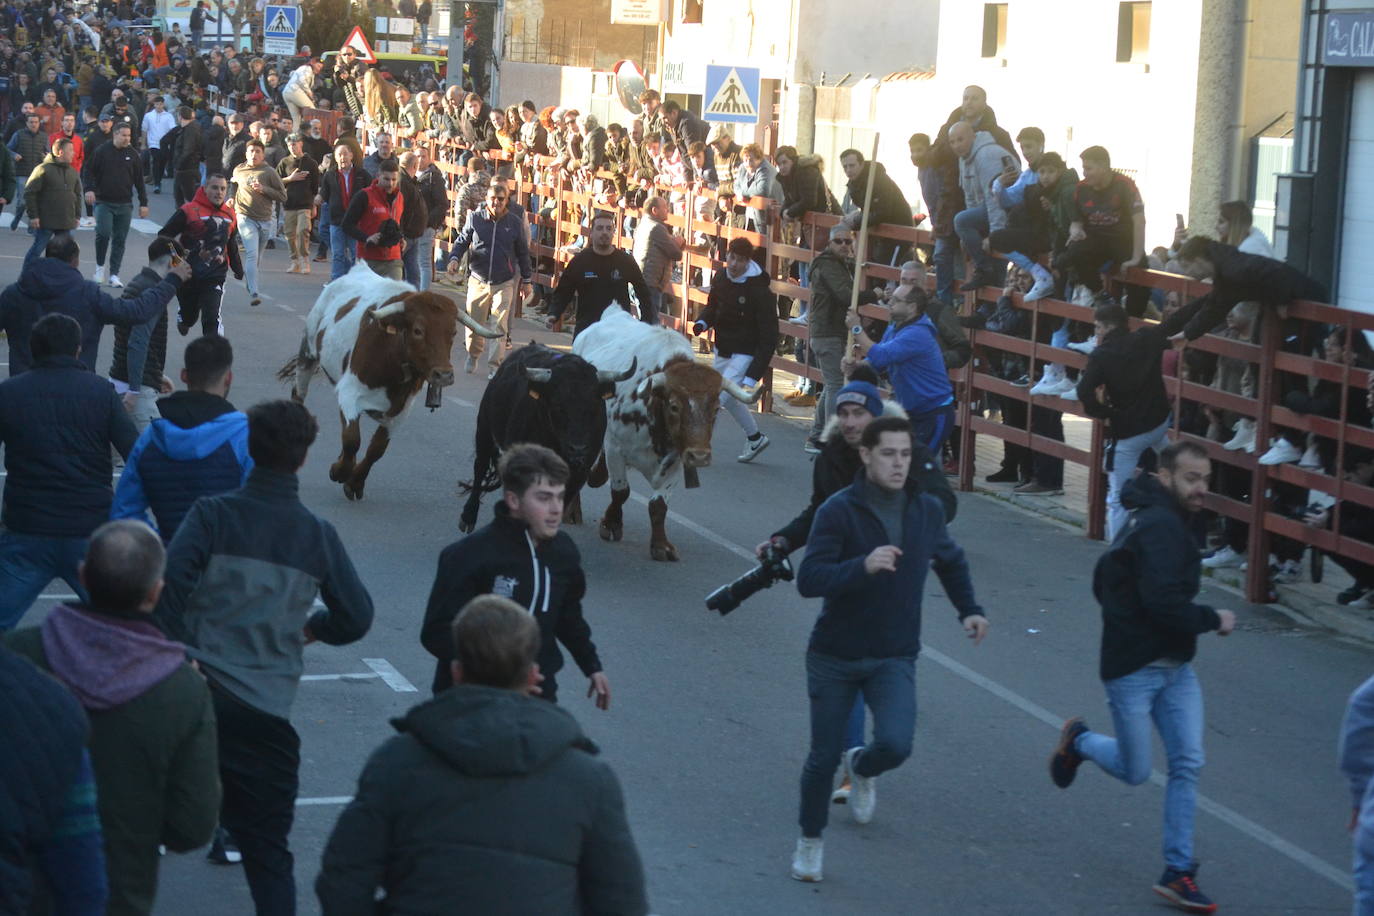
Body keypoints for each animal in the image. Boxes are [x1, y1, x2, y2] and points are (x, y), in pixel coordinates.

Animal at [276, 258, 502, 502]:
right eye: (418, 330)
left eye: (452, 332)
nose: (444, 375)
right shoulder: (349, 392)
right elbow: (352, 439)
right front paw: (340, 471)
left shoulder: (400, 411)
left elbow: (376, 449)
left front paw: (355, 482)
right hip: (307, 353)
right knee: (299, 393)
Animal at [458, 346, 634, 532]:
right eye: (557, 405)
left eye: (594, 406)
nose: (578, 449)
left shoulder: (579, 473)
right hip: (484, 429)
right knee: (480, 466)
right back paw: (468, 516)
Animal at [568, 304, 763, 560]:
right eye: (674, 406)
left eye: (715, 409)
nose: (700, 456)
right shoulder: (615, 448)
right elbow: (621, 491)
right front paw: (611, 524)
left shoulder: (678, 459)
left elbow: (658, 505)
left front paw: (660, 545)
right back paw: (573, 511)